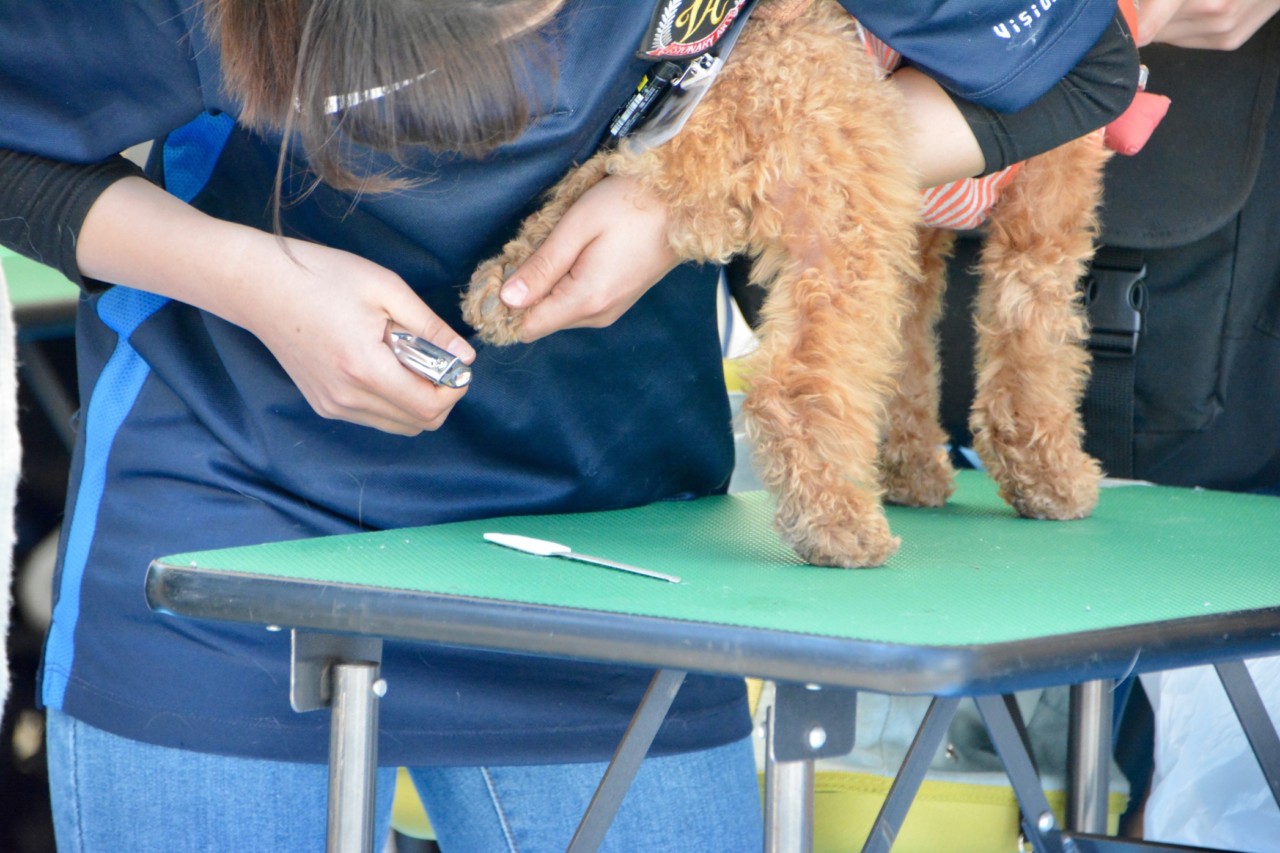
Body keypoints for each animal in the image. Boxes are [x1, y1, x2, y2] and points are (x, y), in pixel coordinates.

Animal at [463, 1, 1111, 571]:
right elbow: (1033, 341)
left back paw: (502, 291)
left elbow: (908, 360)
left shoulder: (921, 233)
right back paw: (840, 527)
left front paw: (912, 472)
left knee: (570, 198)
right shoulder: (1050, 196)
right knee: (793, 384)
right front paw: (1049, 476)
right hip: (850, 207)